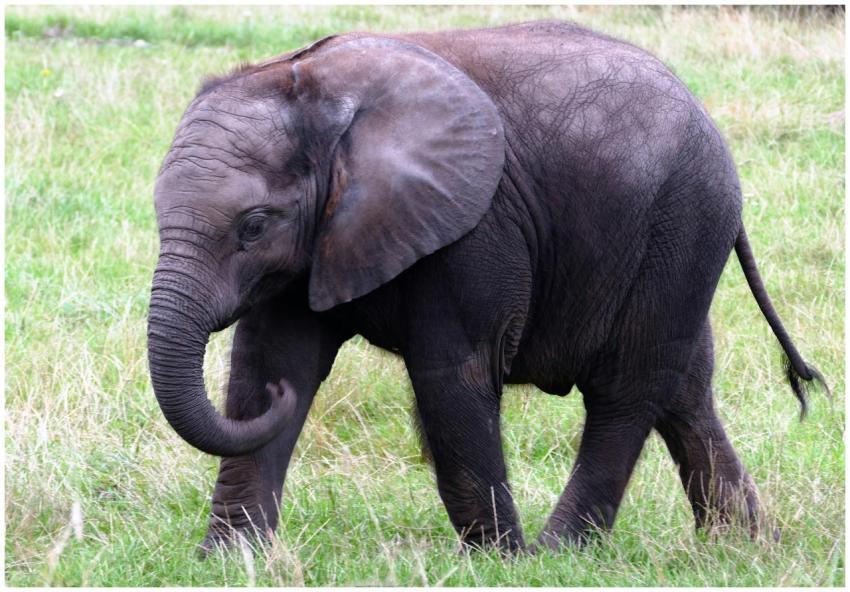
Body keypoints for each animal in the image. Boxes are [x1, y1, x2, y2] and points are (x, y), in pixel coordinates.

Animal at [147, 21, 825, 554]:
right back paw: (744, 547)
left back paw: (558, 553)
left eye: (253, 225)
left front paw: (499, 561)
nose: (283, 400)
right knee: (684, 389)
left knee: (627, 390)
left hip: (681, 224)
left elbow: (453, 375)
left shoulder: (476, 228)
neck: (314, 91)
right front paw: (229, 561)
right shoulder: (317, 242)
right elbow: (271, 359)